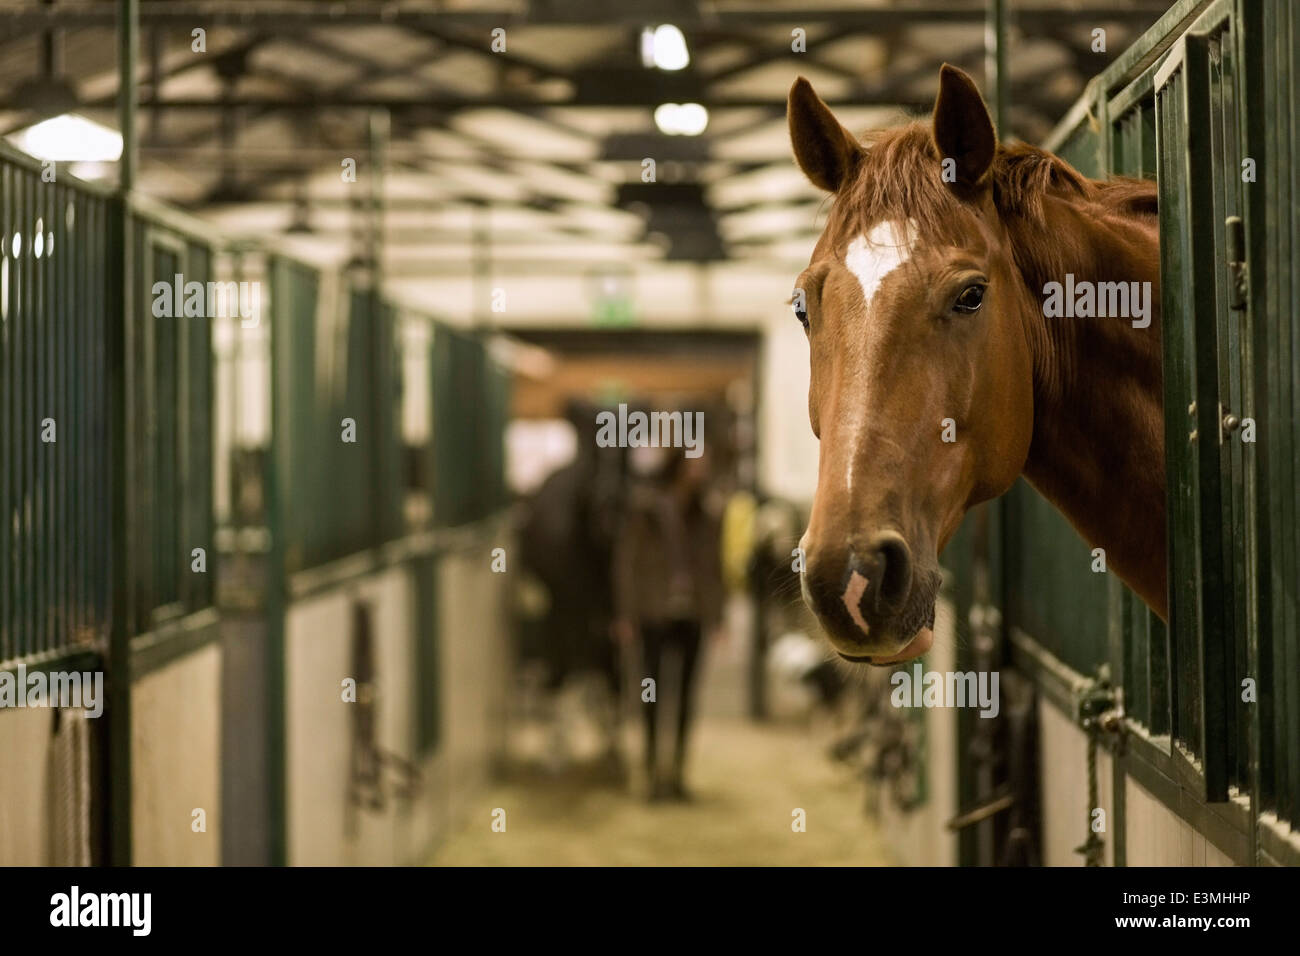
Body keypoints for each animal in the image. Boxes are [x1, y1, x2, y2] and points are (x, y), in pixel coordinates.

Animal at [514, 400, 626, 764]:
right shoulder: (567, 604)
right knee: (567, 656)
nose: (610, 499)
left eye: (627, 452)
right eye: (591, 449)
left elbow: (609, 659)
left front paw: (613, 741)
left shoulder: (613, 605)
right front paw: (557, 745)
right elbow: (569, 657)